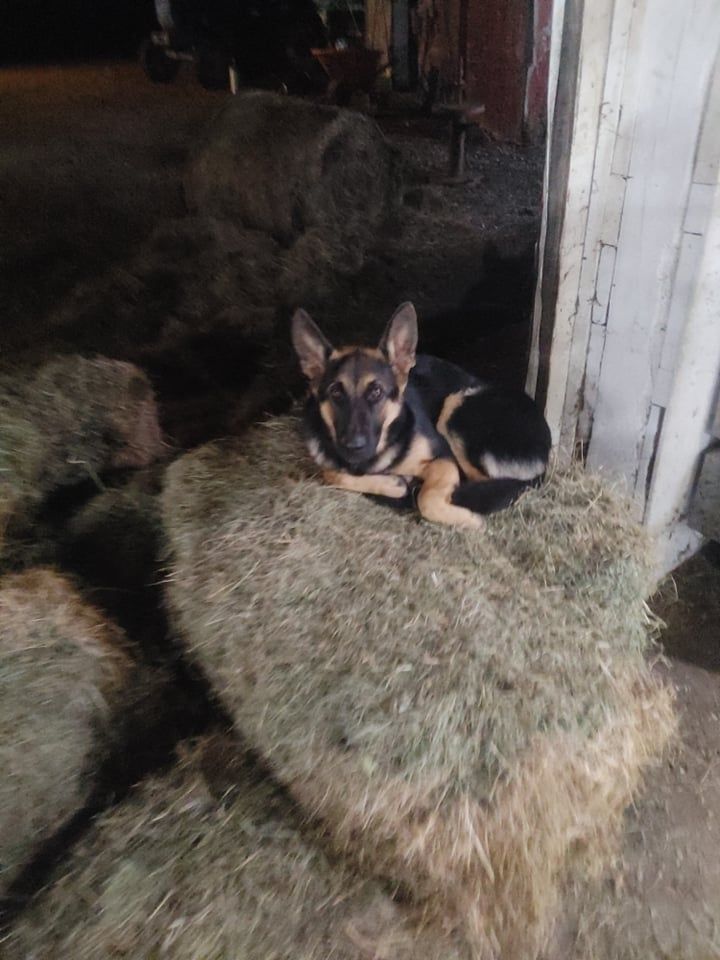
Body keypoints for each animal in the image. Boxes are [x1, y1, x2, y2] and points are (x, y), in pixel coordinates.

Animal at [291, 302, 551, 529]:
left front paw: (467, 519)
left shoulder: (443, 459)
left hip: (455, 406)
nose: (354, 446)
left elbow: (427, 500)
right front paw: (392, 484)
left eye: (376, 392)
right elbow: (331, 474)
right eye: (335, 392)